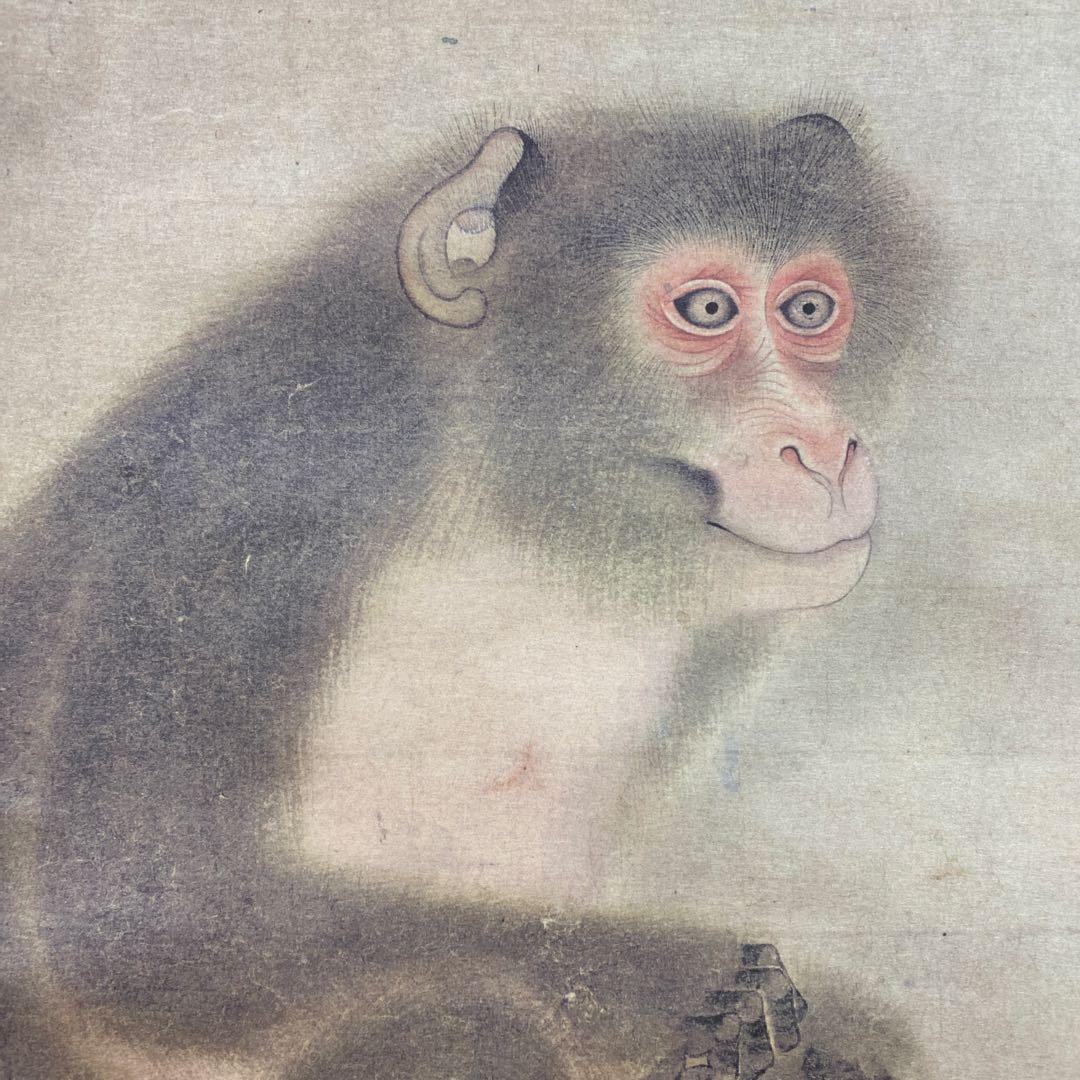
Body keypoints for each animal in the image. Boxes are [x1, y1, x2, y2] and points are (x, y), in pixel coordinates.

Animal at [0, 101, 926, 1078]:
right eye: (707, 309)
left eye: (809, 309)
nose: (823, 452)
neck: (491, 503)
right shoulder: (240, 505)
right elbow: (165, 932)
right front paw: (747, 1002)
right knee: (462, 1011)